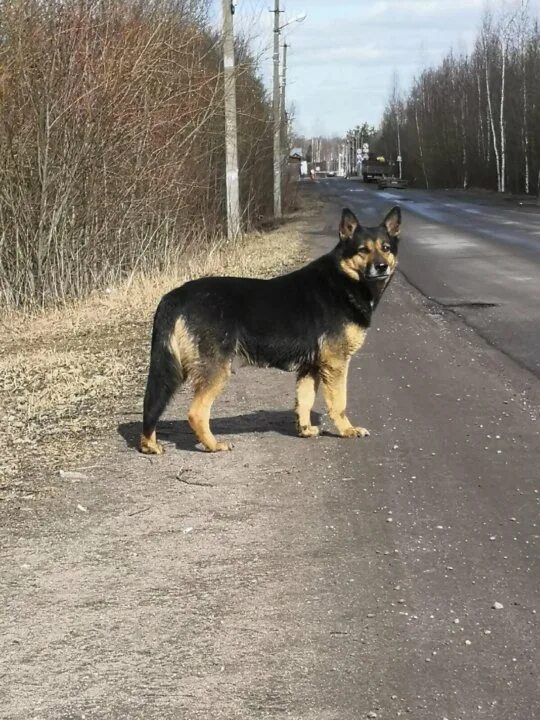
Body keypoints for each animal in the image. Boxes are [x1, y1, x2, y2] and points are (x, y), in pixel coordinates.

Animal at [139, 202, 400, 452]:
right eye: (363, 250)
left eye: (386, 248)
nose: (381, 267)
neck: (345, 279)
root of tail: (174, 296)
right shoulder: (336, 364)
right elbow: (339, 403)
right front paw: (347, 430)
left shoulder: (310, 368)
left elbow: (304, 401)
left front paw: (305, 430)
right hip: (214, 370)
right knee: (195, 413)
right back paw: (213, 445)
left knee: (152, 405)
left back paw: (149, 445)